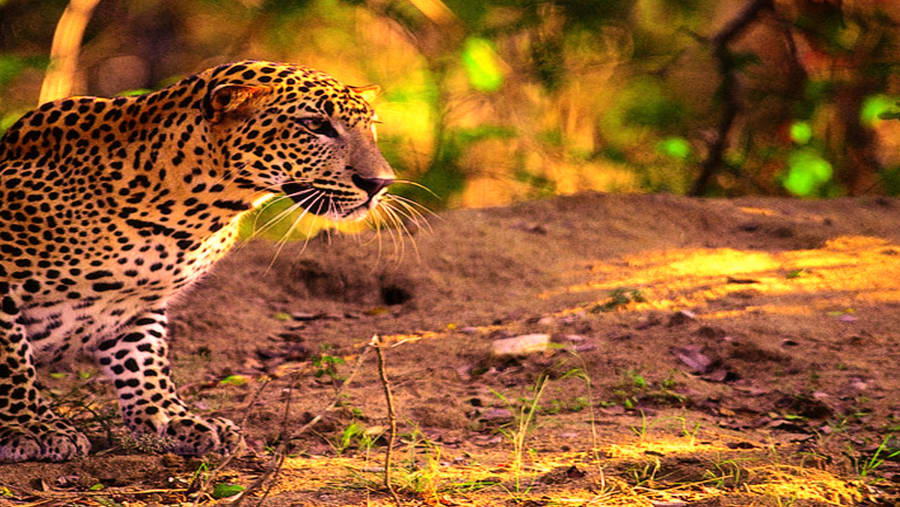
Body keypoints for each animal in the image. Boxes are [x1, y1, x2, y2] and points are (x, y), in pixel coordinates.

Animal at [0, 60, 394, 462]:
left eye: (371, 126)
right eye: (314, 125)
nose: (380, 183)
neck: (195, 214)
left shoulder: (138, 300)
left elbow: (145, 360)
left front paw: (169, 419)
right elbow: (11, 362)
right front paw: (30, 427)